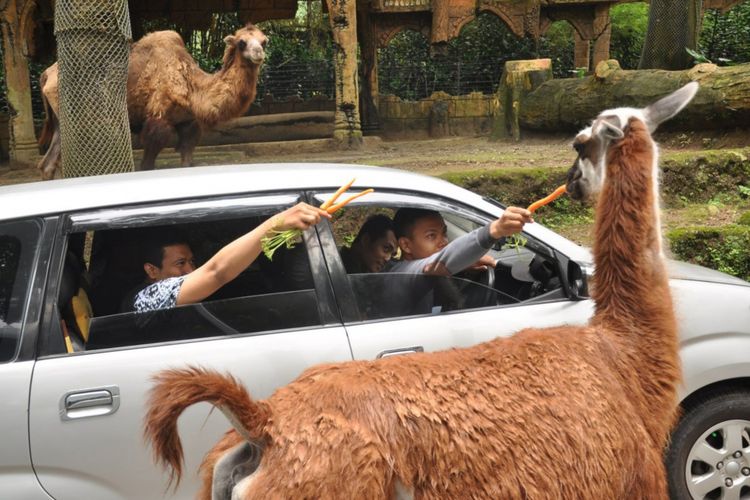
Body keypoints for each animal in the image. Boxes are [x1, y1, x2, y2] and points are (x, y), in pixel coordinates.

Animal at [38, 23, 268, 180]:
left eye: (264, 40)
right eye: (241, 42)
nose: (259, 53)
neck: (191, 86)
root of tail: (46, 74)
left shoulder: (187, 124)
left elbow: (187, 161)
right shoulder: (158, 119)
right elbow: (147, 164)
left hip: (60, 120)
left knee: (48, 162)